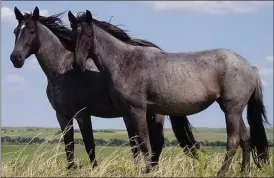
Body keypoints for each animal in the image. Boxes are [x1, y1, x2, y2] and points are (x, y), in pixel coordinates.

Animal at [10, 6, 199, 171]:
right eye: (15, 31)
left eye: (31, 31)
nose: (15, 58)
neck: (61, 70)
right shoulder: (62, 116)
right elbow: (69, 147)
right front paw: (70, 170)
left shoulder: (83, 114)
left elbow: (89, 144)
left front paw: (94, 169)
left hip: (155, 113)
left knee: (157, 142)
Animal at [68, 9, 270, 177]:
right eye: (72, 35)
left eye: (89, 35)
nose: (78, 64)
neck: (125, 62)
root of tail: (250, 67)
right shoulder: (127, 113)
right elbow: (136, 143)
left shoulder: (138, 110)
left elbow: (145, 143)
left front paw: (148, 171)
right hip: (235, 109)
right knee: (246, 138)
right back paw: (244, 172)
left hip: (231, 110)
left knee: (233, 141)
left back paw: (222, 172)